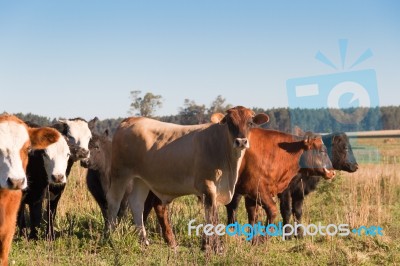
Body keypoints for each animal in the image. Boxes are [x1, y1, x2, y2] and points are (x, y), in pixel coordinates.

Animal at [106, 105, 268, 249]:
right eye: (229, 122)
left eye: (250, 122)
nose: (241, 141)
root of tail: (131, 120)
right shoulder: (208, 187)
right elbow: (213, 217)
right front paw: (216, 248)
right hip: (120, 174)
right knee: (114, 202)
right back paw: (109, 238)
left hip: (141, 179)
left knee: (137, 204)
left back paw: (143, 241)